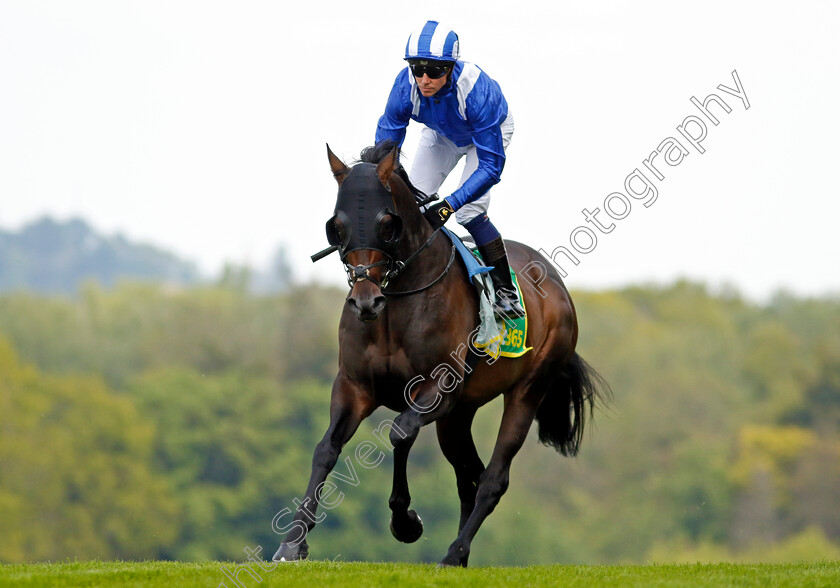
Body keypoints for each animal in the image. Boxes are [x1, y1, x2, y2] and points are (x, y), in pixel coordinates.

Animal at [272, 140, 608, 568]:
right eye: (338, 225)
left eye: (387, 223)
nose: (365, 301)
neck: (395, 303)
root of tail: (557, 284)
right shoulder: (354, 387)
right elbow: (325, 450)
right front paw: (292, 542)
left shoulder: (436, 390)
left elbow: (400, 433)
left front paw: (406, 522)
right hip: (459, 416)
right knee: (471, 476)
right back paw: (459, 557)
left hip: (527, 391)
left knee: (493, 478)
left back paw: (454, 553)